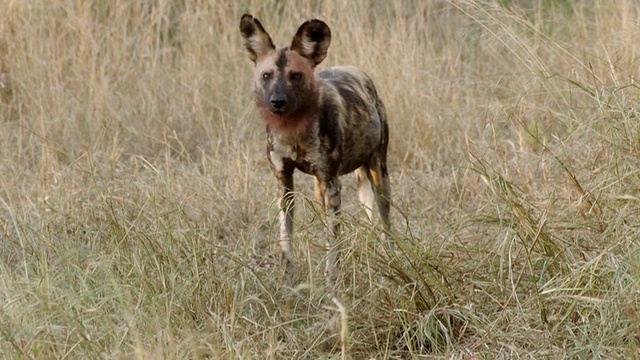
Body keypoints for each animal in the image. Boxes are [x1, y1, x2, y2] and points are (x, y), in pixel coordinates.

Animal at [239, 13, 390, 284]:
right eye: (266, 75)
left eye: (296, 76)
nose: (277, 101)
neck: (294, 131)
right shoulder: (284, 182)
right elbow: (285, 234)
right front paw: (288, 275)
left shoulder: (332, 185)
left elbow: (334, 241)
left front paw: (331, 281)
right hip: (323, 188)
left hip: (377, 173)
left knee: (385, 222)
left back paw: (392, 257)